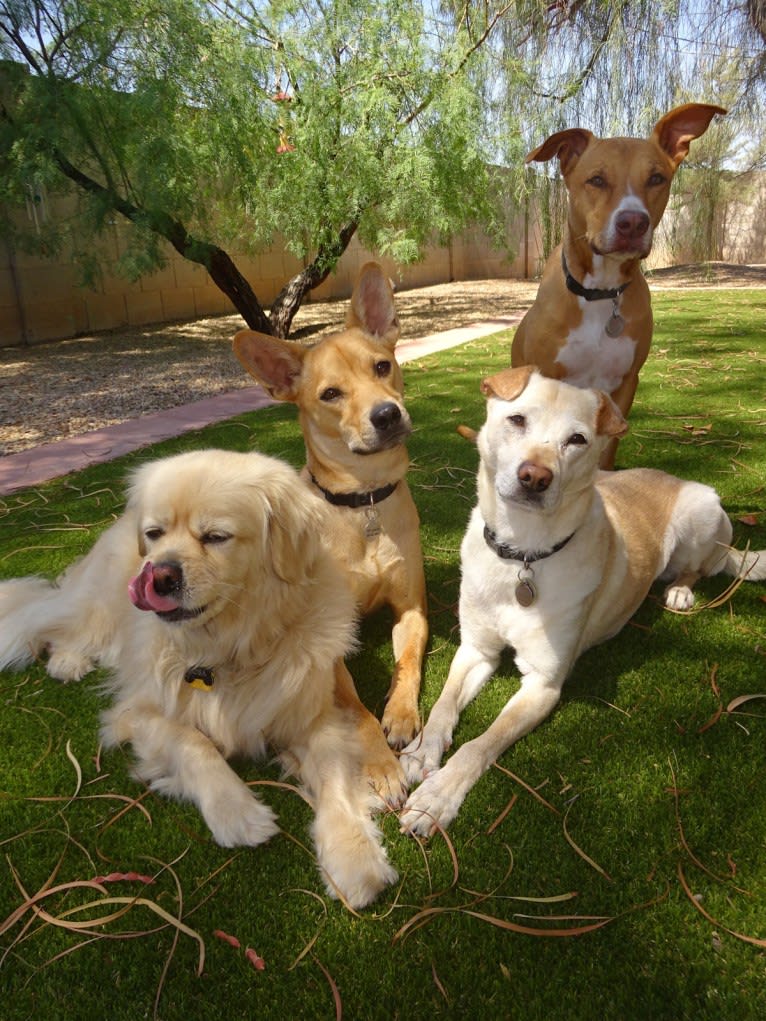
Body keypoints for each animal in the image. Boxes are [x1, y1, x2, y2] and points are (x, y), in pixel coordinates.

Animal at [0, 451, 396, 906]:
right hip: (93, 609)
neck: (229, 649)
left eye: (215, 536)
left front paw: (353, 857)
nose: (158, 574)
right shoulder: (138, 713)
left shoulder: (317, 720)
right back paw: (67, 660)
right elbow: (193, 743)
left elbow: (336, 783)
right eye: (155, 534)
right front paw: (238, 812)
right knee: (56, 623)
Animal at [233, 261, 428, 767]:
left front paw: (401, 714)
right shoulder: (325, 639)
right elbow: (354, 709)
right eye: (331, 394)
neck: (365, 503)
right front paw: (380, 767)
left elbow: (408, 663)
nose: (386, 414)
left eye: (382, 366)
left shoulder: (412, 607)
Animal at [398, 367, 763, 837]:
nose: (535, 476)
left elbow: (481, 744)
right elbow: (443, 706)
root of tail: (679, 478)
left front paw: (438, 797)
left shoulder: (543, 683)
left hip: (700, 516)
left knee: (698, 568)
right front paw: (421, 752)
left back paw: (681, 589)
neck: (524, 554)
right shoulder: (476, 649)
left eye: (577, 440)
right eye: (517, 420)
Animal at [512, 101, 727, 467]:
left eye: (656, 178)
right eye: (596, 180)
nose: (633, 222)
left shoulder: (626, 383)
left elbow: (606, 449)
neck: (600, 292)